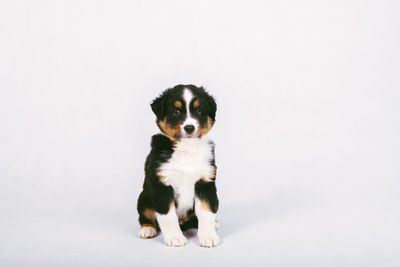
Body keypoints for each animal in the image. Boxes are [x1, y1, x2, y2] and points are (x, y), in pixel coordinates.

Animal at [137, 85, 219, 248]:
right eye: (176, 112)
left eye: (199, 111)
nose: (189, 128)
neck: (187, 149)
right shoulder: (162, 185)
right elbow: (168, 215)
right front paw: (175, 237)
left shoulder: (205, 183)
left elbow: (206, 212)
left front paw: (208, 236)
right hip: (144, 197)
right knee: (145, 215)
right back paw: (147, 229)